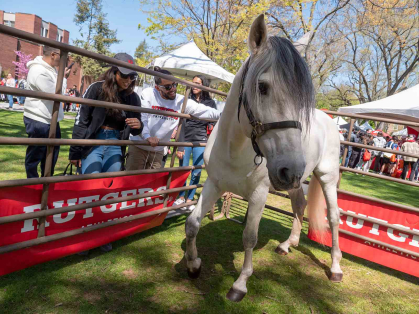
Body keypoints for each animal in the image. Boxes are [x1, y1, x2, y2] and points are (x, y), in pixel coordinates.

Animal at [185, 15, 342, 302]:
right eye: (262, 86)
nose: (290, 168)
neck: (235, 149)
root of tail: (329, 120)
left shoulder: (259, 194)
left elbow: (249, 236)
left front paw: (239, 284)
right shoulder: (214, 184)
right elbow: (192, 224)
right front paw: (193, 265)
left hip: (325, 177)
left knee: (334, 217)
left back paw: (336, 268)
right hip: (295, 183)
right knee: (300, 205)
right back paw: (287, 245)